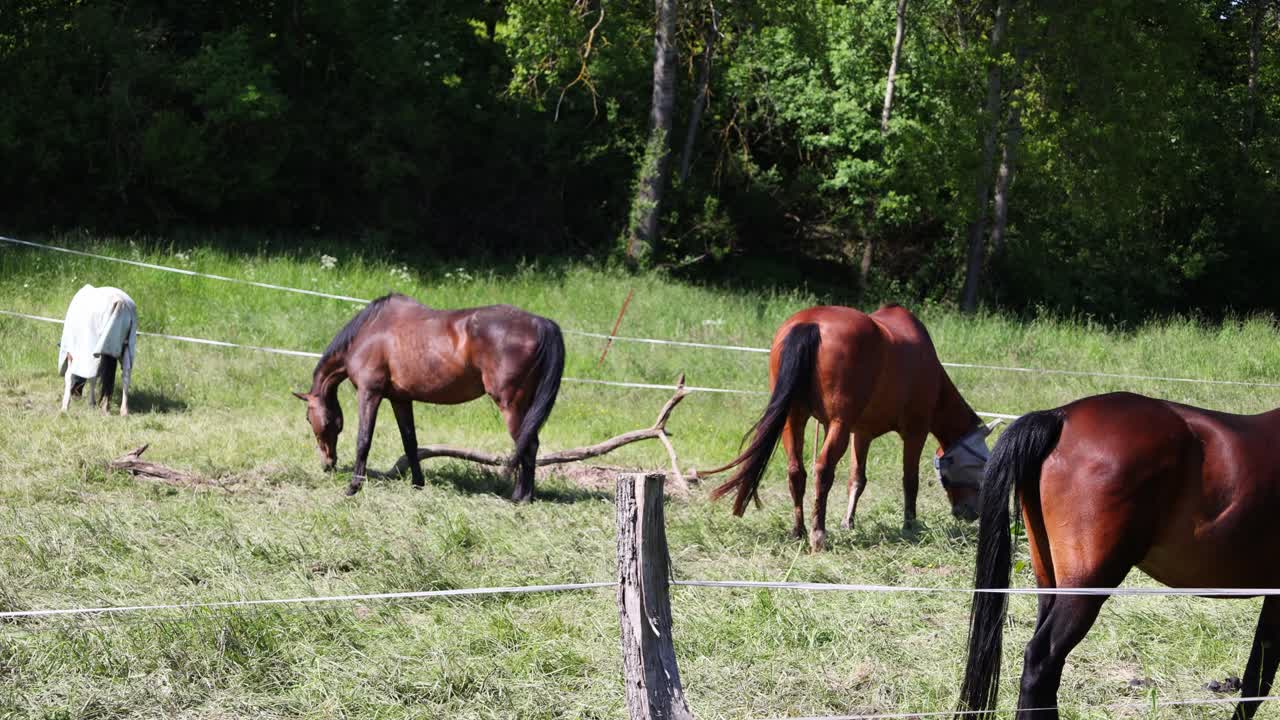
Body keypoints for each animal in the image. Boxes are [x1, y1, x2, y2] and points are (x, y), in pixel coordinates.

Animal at [58, 284, 137, 416]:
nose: (76, 394)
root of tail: (120, 302)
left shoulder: (74, 353)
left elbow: (70, 375)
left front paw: (65, 407)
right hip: (126, 348)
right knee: (126, 375)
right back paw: (123, 411)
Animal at [294, 293, 564, 501]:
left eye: (309, 419)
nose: (328, 464)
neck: (369, 332)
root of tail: (541, 323)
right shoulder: (400, 399)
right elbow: (410, 442)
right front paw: (417, 483)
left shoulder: (369, 393)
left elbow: (364, 440)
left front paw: (353, 487)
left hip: (511, 404)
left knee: (527, 444)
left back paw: (521, 497)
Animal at [706, 304, 994, 552]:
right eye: (978, 465)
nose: (971, 512)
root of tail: (810, 322)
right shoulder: (915, 432)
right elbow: (910, 481)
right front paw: (910, 525)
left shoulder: (861, 434)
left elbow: (857, 479)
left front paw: (848, 522)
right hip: (838, 426)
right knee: (823, 470)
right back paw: (818, 534)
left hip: (794, 418)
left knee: (796, 471)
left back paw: (799, 530)